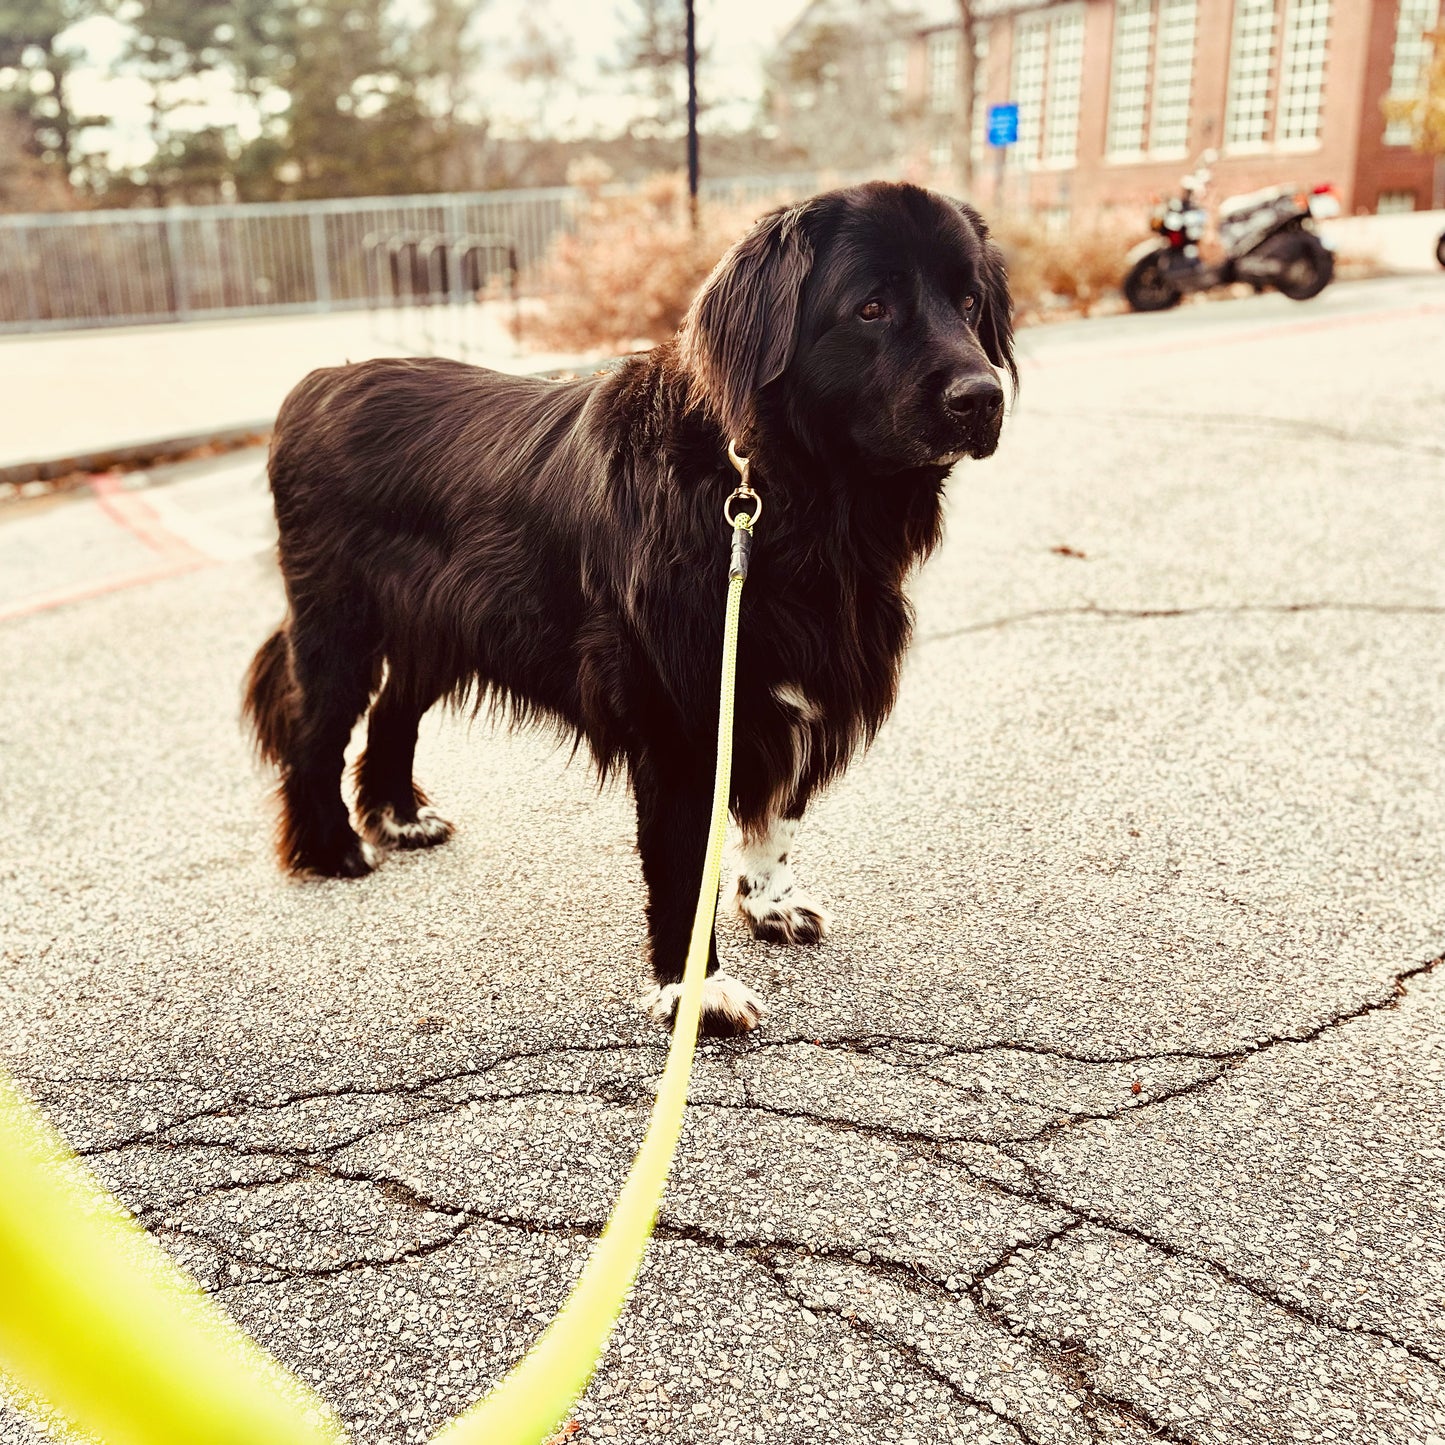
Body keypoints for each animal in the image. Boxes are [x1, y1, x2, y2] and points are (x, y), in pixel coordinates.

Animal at [245, 180, 1017, 1034]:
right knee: (315, 731)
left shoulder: (799, 680)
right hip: (337, 622)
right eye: (871, 307)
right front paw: (696, 991)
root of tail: (315, 382)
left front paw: (770, 902)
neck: (785, 495)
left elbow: (778, 813)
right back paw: (333, 847)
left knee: (392, 714)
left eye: (969, 299)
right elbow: (683, 862)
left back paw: (398, 815)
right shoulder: (679, 713)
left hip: (441, 626)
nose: (983, 398)